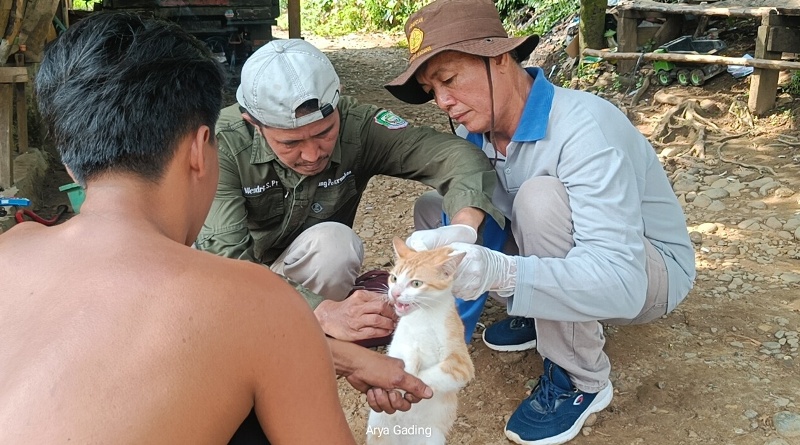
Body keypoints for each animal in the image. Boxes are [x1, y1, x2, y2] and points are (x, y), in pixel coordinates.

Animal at [368, 238, 476, 444]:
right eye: (394, 278)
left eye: (416, 283)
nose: (395, 293)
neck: (423, 317)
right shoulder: (398, 344)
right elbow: (406, 351)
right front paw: (408, 367)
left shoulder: (461, 363)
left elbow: (433, 373)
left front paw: (411, 384)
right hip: (378, 430)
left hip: (433, 437)